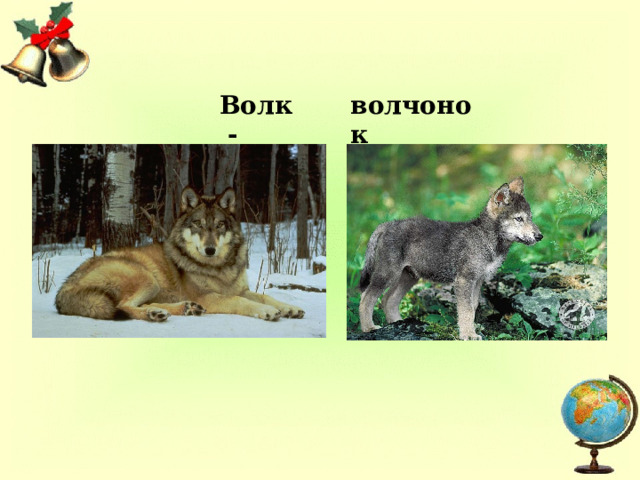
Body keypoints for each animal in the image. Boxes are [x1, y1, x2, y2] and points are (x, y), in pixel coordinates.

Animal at [55, 187, 305, 322]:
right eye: (198, 225)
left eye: (219, 225)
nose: (210, 249)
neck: (220, 268)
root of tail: (64, 287)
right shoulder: (209, 296)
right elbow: (240, 301)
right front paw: (268, 312)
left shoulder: (240, 289)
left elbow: (263, 296)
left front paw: (288, 307)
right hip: (147, 278)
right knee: (123, 307)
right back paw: (157, 314)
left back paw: (184, 309)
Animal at [358, 177, 542, 340]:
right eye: (519, 218)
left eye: (531, 217)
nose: (540, 236)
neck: (487, 239)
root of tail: (387, 224)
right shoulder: (464, 280)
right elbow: (466, 310)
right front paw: (468, 335)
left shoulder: (478, 280)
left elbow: (472, 308)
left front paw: (471, 330)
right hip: (387, 274)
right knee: (367, 298)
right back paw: (369, 328)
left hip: (408, 277)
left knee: (388, 300)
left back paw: (398, 323)